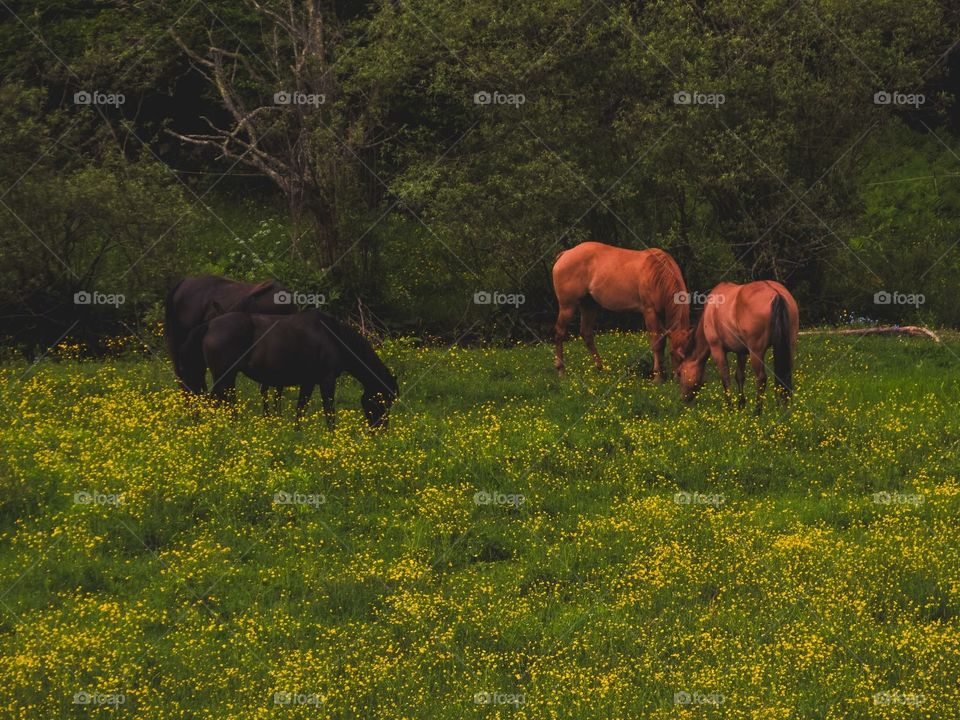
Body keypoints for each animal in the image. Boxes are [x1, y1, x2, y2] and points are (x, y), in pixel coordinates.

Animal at [182, 310, 396, 428]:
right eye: (384, 400)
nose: (380, 431)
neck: (333, 335)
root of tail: (210, 324)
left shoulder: (309, 382)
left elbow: (300, 410)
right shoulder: (326, 380)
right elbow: (329, 413)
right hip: (224, 378)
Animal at [552, 242, 692, 380]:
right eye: (672, 353)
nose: (681, 377)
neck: (658, 274)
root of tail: (565, 254)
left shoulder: (662, 315)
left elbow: (662, 342)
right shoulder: (650, 312)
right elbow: (657, 343)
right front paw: (658, 378)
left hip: (589, 305)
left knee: (586, 334)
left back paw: (600, 368)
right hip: (567, 306)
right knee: (560, 333)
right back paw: (561, 371)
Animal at [680, 282, 800, 416]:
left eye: (679, 373)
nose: (683, 399)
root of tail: (776, 293)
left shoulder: (717, 349)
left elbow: (725, 378)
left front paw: (730, 408)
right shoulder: (741, 351)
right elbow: (739, 376)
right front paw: (741, 405)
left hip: (756, 352)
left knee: (761, 378)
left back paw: (757, 411)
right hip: (789, 346)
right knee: (785, 376)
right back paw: (784, 407)